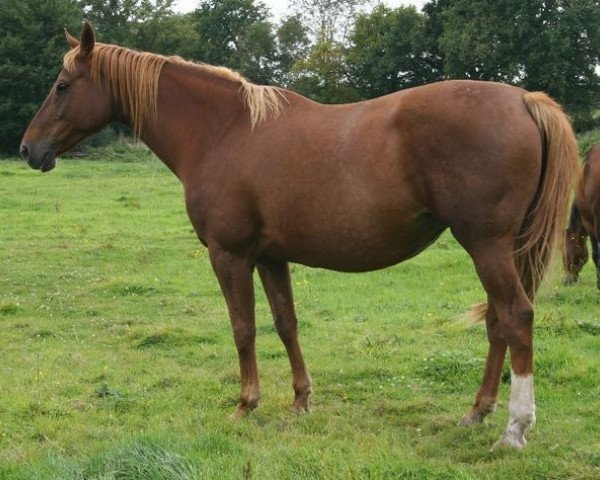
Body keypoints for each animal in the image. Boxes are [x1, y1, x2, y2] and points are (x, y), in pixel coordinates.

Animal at [21, 23, 580, 450]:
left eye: (63, 85)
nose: (29, 149)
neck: (223, 131)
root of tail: (524, 98)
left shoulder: (229, 256)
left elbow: (243, 329)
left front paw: (245, 405)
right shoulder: (271, 257)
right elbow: (286, 324)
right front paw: (300, 401)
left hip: (486, 244)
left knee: (516, 317)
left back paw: (514, 429)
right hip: (498, 249)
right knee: (498, 323)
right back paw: (476, 413)